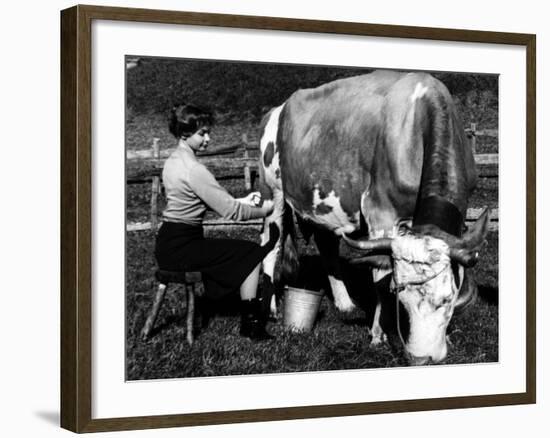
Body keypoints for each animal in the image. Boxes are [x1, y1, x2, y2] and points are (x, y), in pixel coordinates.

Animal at [258, 71, 492, 366]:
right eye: (401, 300)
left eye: (447, 299)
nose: (422, 358)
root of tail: (278, 108)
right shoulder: (380, 213)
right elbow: (380, 279)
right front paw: (379, 334)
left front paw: (447, 336)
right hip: (272, 193)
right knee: (270, 246)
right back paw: (271, 308)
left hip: (322, 205)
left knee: (327, 247)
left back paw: (345, 303)